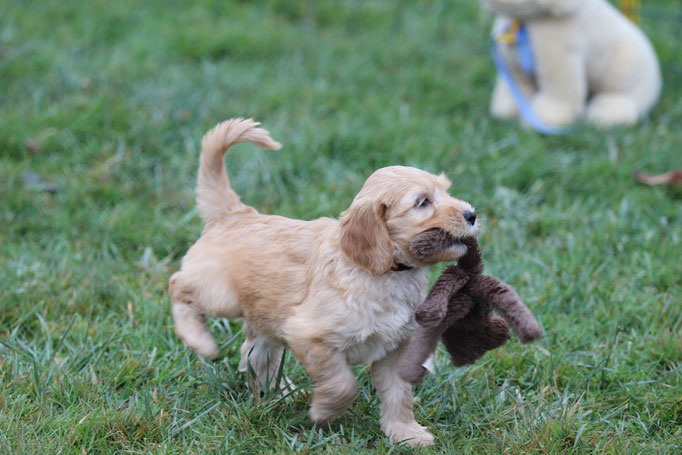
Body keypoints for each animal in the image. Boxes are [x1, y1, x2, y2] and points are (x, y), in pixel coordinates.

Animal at [169, 119, 478, 448]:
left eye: (446, 192)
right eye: (422, 202)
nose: (472, 214)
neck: (385, 273)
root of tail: (234, 213)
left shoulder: (396, 348)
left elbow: (399, 394)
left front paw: (406, 433)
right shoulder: (310, 336)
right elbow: (343, 383)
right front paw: (324, 411)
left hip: (267, 316)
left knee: (256, 354)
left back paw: (284, 392)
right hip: (219, 294)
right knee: (178, 285)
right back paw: (199, 340)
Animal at [484, 0, 660, 128]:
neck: (524, 22)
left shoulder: (560, 61)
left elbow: (560, 94)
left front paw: (544, 118)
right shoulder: (513, 68)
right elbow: (516, 90)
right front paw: (508, 111)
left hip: (624, 72)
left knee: (627, 96)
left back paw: (607, 114)